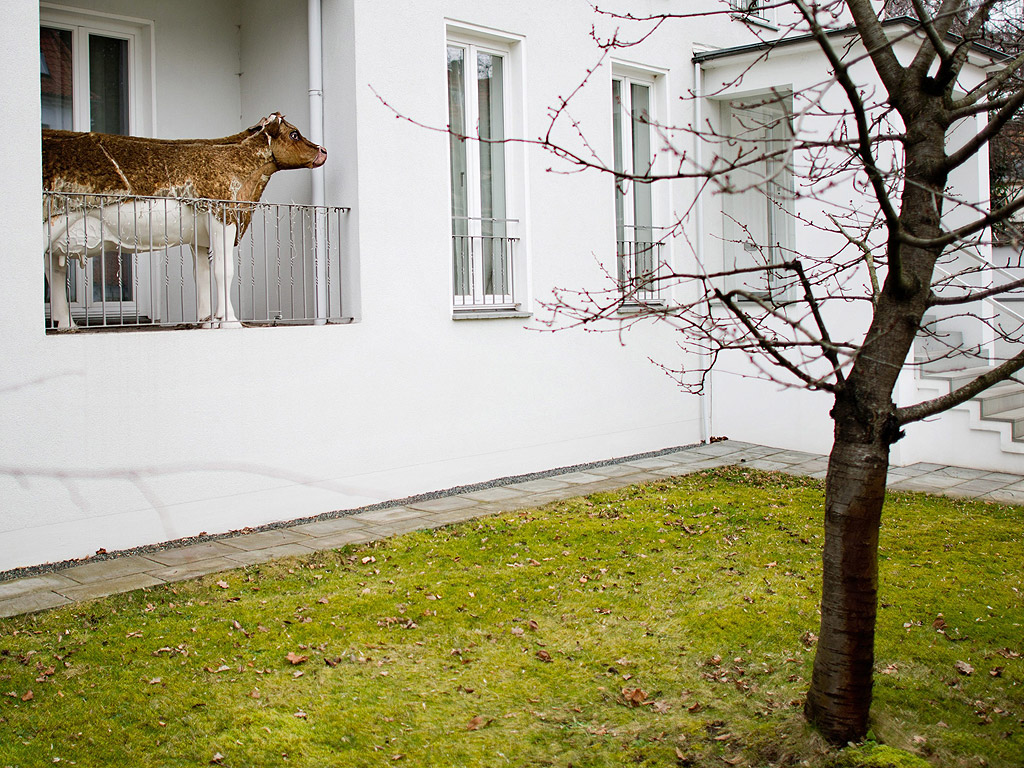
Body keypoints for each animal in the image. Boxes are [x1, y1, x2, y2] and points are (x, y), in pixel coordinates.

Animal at [41, 114, 323, 327]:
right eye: (294, 134)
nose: (324, 151)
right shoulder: (222, 216)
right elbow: (224, 270)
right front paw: (230, 321)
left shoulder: (199, 236)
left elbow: (202, 274)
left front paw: (207, 320)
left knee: (55, 271)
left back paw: (67, 324)